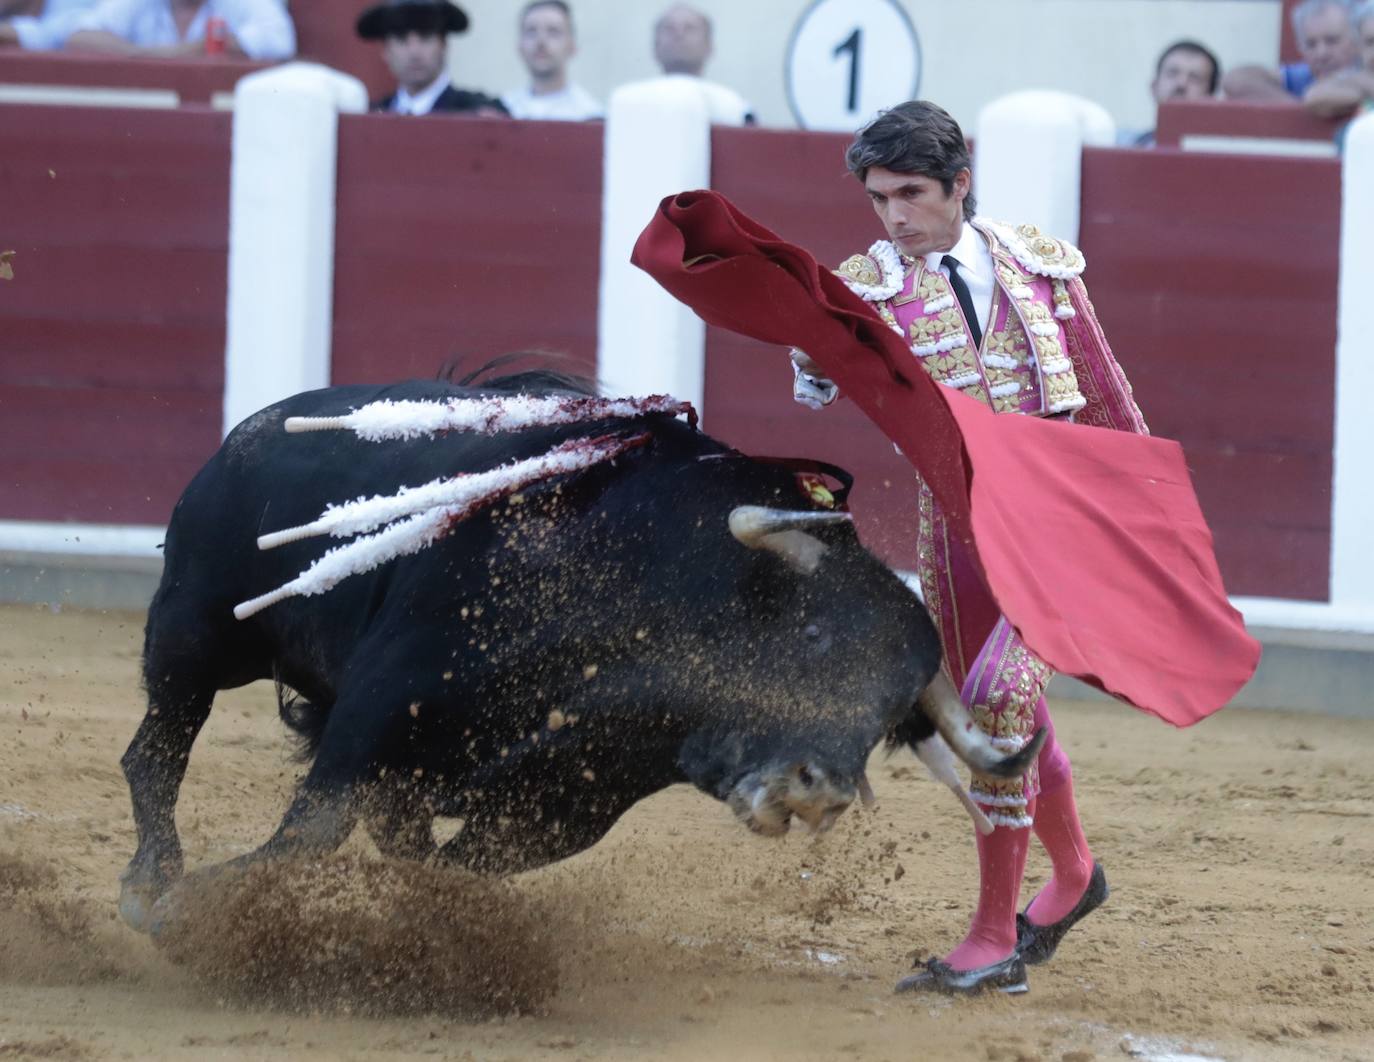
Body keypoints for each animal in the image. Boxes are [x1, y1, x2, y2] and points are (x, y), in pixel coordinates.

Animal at [120, 373, 1038, 928]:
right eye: (810, 633)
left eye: (890, 719)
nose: (820, 791)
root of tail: (254, 426)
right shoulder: (385, 702)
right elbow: (315, 826)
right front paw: (188, 911)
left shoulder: (571, 803)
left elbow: (446, 868)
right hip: (196, 632)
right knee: (156, 748)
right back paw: (148, 881)